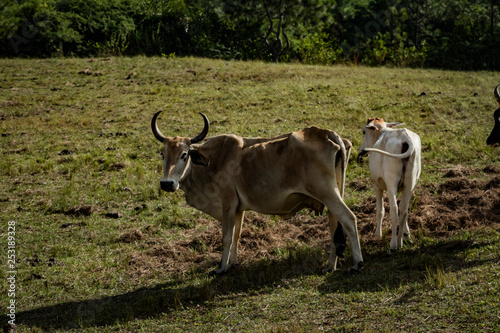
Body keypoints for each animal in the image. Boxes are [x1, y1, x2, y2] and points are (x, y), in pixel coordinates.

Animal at [358, 118, 420, 250]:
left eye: (364, 132)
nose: (361, 151)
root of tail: (405, 138)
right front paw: (407, 234)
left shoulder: (377, 186)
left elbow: (380, 211)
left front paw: (377, 234)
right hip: (410, 182)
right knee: (404, 211)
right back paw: (400, 242)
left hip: (391, 183)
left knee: (394, 210)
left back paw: (393, 244)